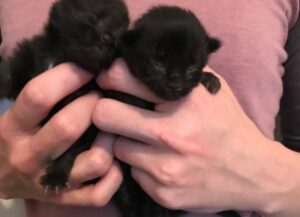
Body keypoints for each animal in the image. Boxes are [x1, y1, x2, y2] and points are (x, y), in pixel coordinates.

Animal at [0, 0, 129, 190]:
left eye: (120, 39)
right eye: (96, 16)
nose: (111, 39)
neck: (63, 57)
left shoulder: (85, 125)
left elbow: (69, 148)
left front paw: (56, 175)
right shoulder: (29, 55)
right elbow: (10, 75)